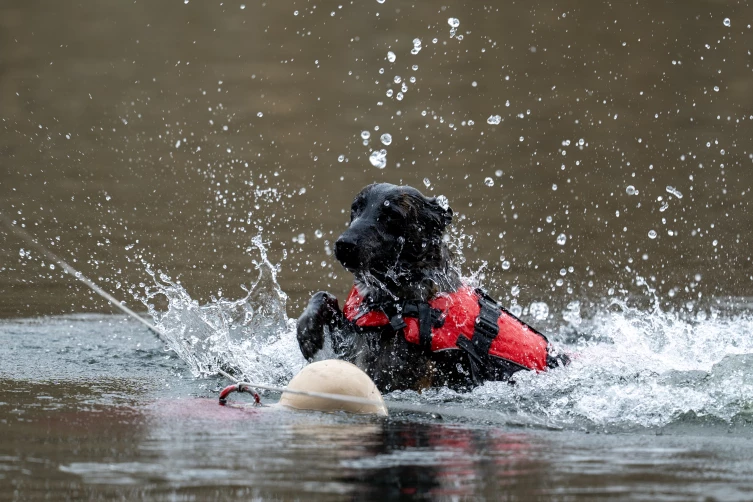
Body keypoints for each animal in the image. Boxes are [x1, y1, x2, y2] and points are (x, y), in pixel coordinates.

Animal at [294, 182, 564, 394]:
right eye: (355, 209)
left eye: (392, 216)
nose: (344, 245)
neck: (400, 300)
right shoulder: (354, 339)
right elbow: (323, 297)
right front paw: (308, 333)